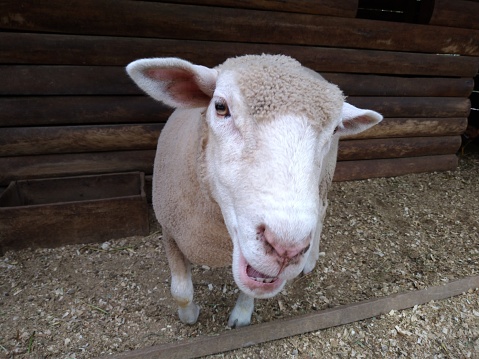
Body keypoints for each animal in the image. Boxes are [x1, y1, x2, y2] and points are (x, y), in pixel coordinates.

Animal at [126, 54, 382, 330]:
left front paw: (241, 315)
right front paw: (189, 315)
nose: (286, 249)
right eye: (220, 107)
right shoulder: (169, 230)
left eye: (335, 129)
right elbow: (181, 291)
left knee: (323, 208)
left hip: (325, 175)